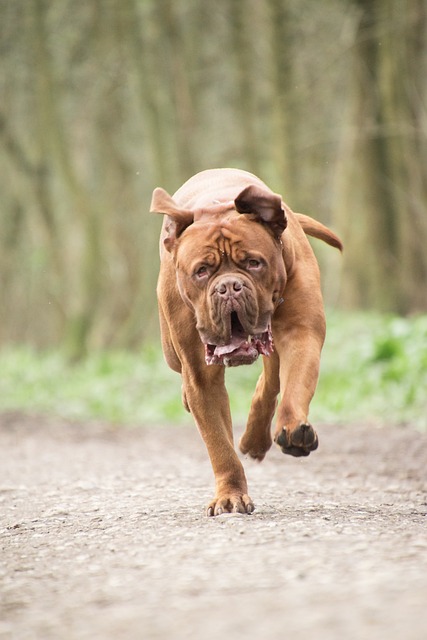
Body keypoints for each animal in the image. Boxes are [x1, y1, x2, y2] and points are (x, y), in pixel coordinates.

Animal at [151, 169, 344, 516]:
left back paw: (256, 438)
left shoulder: (302, 331)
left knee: (270, 381)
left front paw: (292, 428)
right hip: (172, 350)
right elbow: (218, 444)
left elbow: (296, 384)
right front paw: (230, 495)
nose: (229, 286)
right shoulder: (201, 375)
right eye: (202, 271)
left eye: (254, 263)